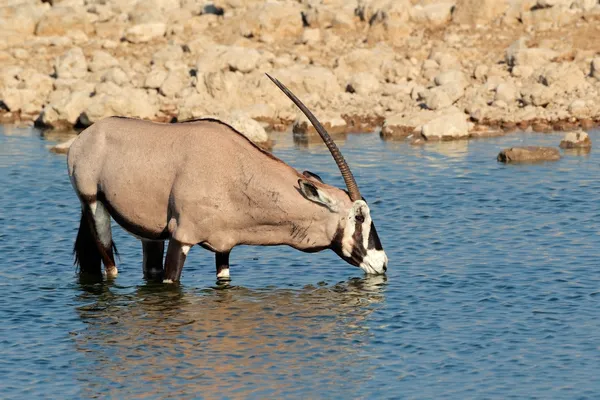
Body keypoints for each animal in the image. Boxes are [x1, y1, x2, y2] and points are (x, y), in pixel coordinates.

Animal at [69, 74, 390, 282]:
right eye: (359, 217)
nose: (383, 263)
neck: (235, 171)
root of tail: (85, 137)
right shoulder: (182, 237)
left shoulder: (224, 247)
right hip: (93, 205)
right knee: (110, 267)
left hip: (150, 234)